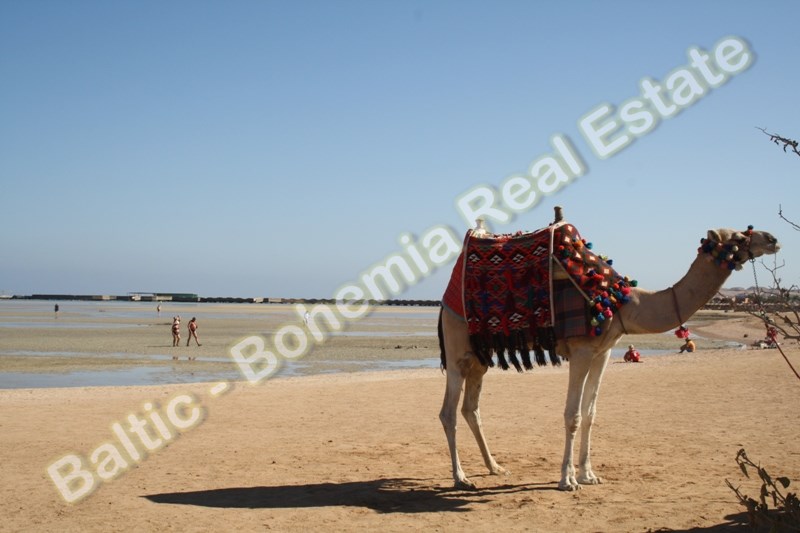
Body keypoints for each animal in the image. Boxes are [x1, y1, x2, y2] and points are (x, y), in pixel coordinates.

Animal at [438, 216, 780, 491]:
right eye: (739, 237)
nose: (773, 239)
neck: (621, 302)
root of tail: (444, 300)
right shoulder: (581, 349)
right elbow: (572, 416)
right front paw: (567, 480)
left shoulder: (603, 351)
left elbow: (590, 414)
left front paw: (589, 475)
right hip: (456, 348)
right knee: (448, 412)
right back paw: (461, 477)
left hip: (480, 356)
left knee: (471, 409)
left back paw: (494, 467)